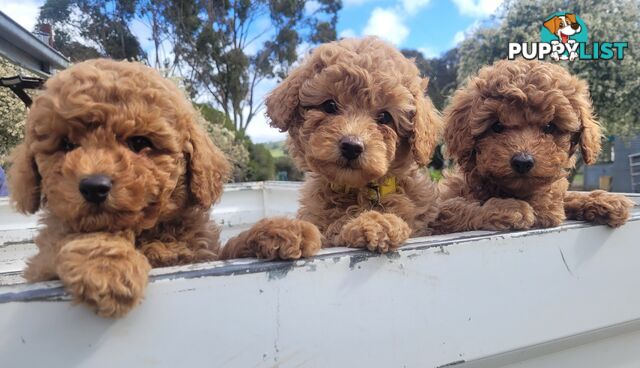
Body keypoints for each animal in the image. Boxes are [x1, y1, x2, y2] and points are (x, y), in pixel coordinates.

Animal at [5, 58, 316, 316]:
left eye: (139, 142)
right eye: (67, 145)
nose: (93, 186)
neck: (148, 231)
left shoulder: (205, 255)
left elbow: (234, 247)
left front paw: (284, 229)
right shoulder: (40, 269)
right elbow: (66, 241)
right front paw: (107, 266)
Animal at [436, 59, 636, 233]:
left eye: (549, 126)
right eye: (497, 126)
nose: (522, 162)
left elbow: (566, 197)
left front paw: (603, 200)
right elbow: (455, 209)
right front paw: (508, 208)